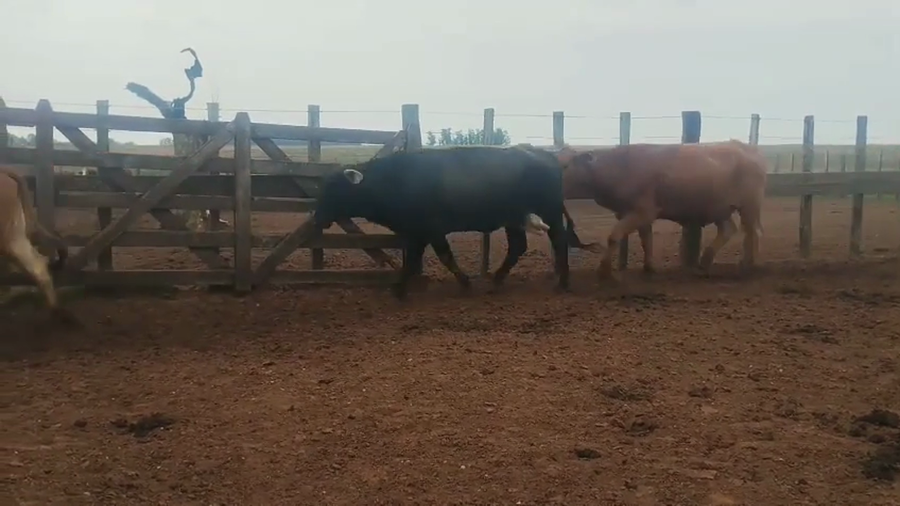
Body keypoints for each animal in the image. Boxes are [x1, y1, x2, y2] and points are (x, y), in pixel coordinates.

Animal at [310, 145, 597, 299]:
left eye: (334, 189)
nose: (317, 216)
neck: (395, 179)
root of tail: (546, 155)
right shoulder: (417, 233)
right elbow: (419, 259)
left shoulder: (429, 231)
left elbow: (439, 257)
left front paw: (401, 289)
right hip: (514, 218)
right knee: (518, 246)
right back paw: (497, 279)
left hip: (549, 212)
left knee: (558, 241)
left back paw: (563, 282)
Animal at [555, 140, 767, 280]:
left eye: (565, 166)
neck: (620, 166)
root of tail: (746, 148)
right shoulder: (637, 214)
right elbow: (646, 240)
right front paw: (649, 266)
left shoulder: (642, 211)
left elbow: (614, 236)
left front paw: (604, 270)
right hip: (718, 209)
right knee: (728, 230)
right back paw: (704, 263)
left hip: (749, 206)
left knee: (753, 232)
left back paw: (748, 264)